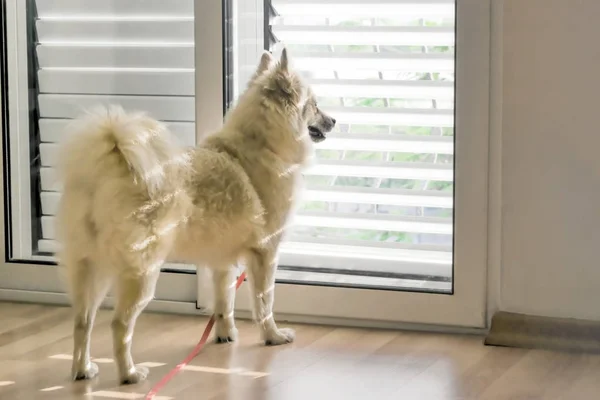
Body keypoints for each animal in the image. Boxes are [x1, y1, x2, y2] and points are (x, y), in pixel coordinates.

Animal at [55, 50, 338, 384]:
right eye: (314, 106)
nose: (334, 120)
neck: (262, 144)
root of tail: (107, 172)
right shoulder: (266, 253)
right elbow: (264, 302)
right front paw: (273, 336)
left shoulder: (222, 261)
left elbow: (223, 301)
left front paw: (225, 335)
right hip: (142, 273)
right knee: (119, 325)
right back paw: (130, 374)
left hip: (90, 268)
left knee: (82, 320)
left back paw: (82, 370)